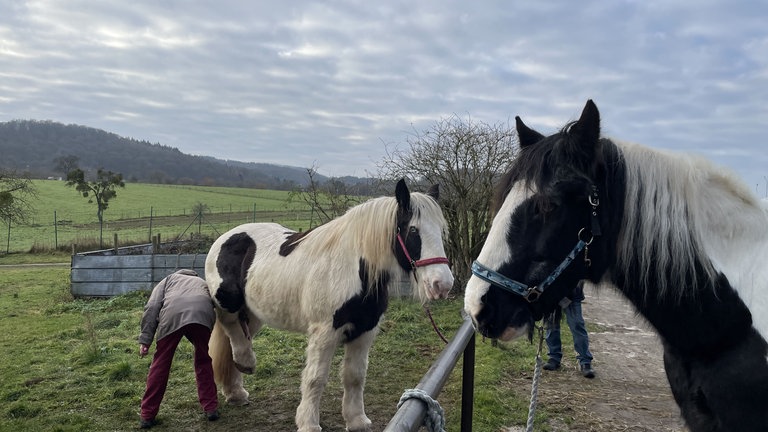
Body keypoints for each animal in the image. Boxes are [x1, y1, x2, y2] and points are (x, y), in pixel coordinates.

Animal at [207, 179, 452, 432]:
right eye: (413, 230)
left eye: (441, 230)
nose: (442, 284)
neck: (354, 270)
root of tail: (227, 237)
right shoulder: (325, 332)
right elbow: (315, 378)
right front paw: (308, 423)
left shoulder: (364, 331)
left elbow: (355, 376)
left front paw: (357, 420)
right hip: (228, 302)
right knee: (231, 327)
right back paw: (246, 362)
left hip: (254, 314)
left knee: (234, 340)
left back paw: (236, 391)